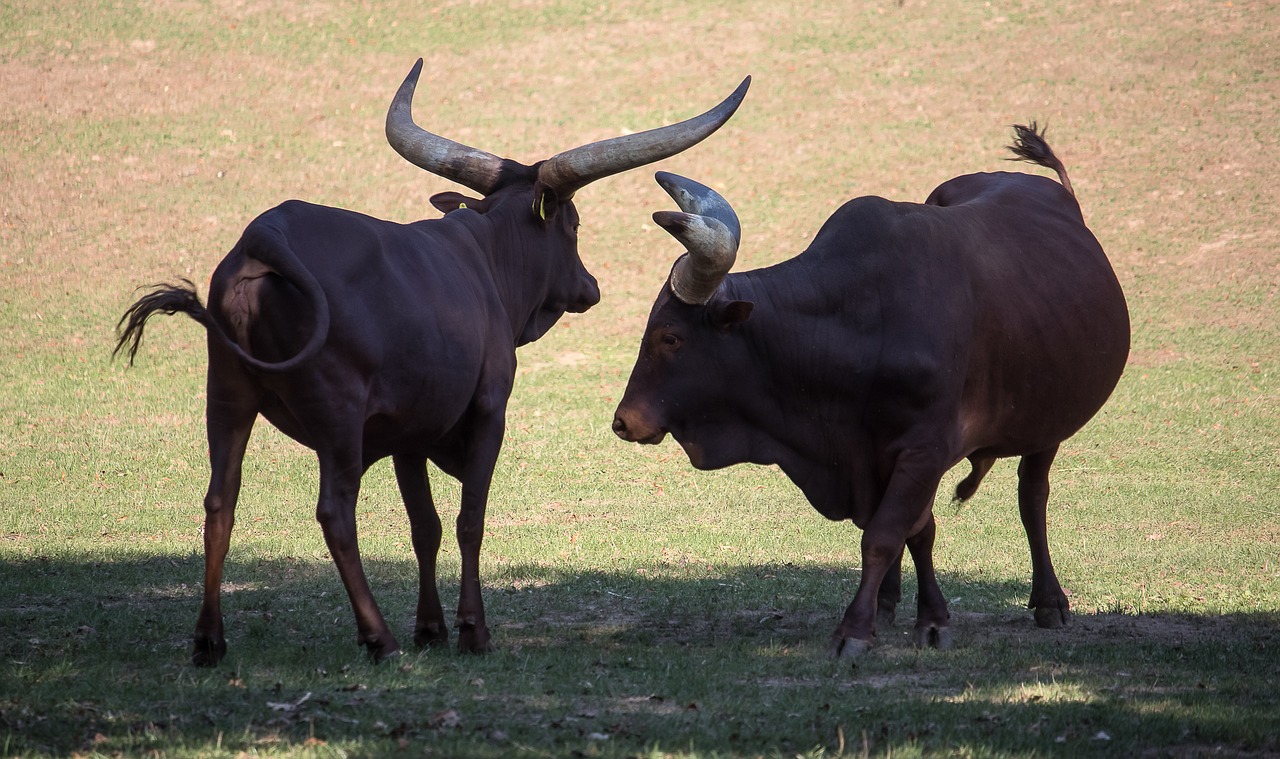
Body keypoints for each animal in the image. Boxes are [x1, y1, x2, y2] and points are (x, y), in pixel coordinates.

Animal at [117, 60, 747, 665]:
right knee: (335, 513)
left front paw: (431, 628)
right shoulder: (488, 412)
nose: (590, 287)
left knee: (219, 503)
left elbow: (426, 525)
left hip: (226, 396)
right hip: (337, 417)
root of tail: (263, 237)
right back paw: (378, 638)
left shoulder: (410, 433)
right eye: (574, 224)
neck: (487, 258)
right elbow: (469, 520)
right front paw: (471, 629)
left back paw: (209, 640)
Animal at [614, 126, 1126, 655]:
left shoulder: (924, 449)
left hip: (1046, 423)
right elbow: (915, 531)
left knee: (1032, 498)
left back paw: (1049, 600)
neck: (859, 321)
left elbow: (884, 534)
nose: (624, 420)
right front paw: (920, 614)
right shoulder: (874, 453)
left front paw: (857, 628)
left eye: (671, 337)